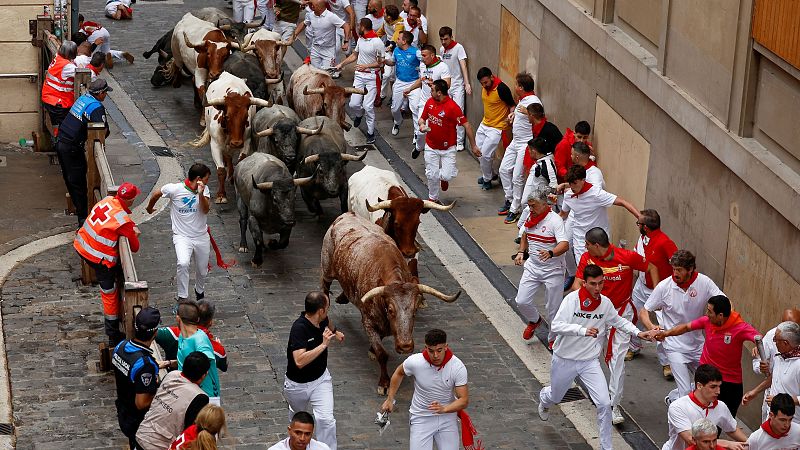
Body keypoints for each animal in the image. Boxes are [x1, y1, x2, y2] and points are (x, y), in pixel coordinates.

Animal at [191, 71, 272, 202]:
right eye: (227, 116)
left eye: (246, 117)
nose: (236, 143)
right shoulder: (215, 145)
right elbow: (221, 170)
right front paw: (221, 195)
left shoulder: (246, 141)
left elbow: (240, 161)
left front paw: (234, 178)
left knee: (229, 156)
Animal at [318, 213, 456, 392]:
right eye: (391, 310)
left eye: (415, 311)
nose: (405, 346)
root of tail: (347, 214)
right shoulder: (368, 322)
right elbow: (382, 354)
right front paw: (384, 383)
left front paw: (372, 350)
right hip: (327, 267)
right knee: (324, 287)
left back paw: (343, 297)